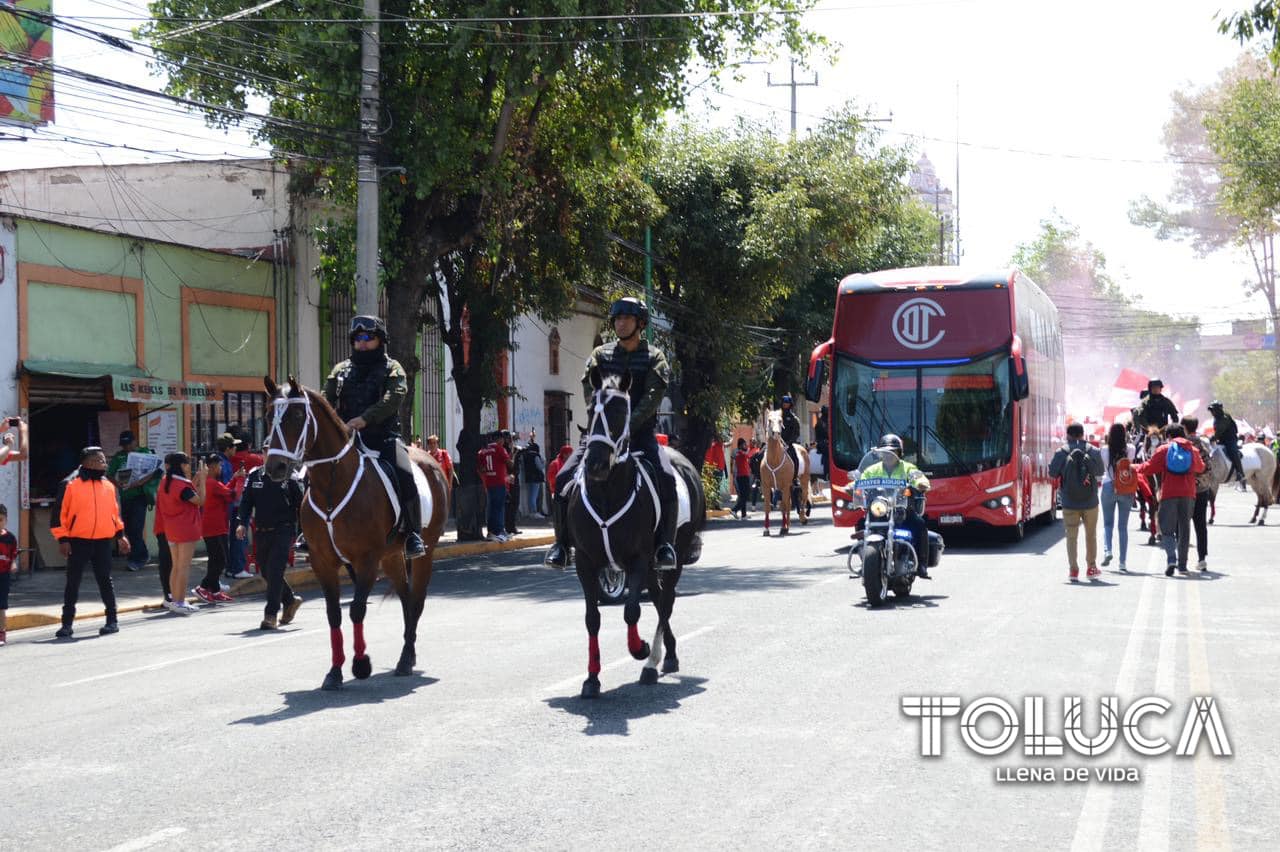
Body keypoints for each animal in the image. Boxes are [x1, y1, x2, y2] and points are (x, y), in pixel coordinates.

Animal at [259, 376, 450, 685]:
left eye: (297, 415)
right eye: (267, 415)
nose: (276, 466)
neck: (333, 484)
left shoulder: (367, 560)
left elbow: (357, 609)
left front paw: (360, 664)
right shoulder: (323, 562)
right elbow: (334, 614)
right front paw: (335, 671)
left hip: (426, 551)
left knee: (417, 601)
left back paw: (406, 658)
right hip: (392, 556)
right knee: (406, 597)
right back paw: (406, 656)